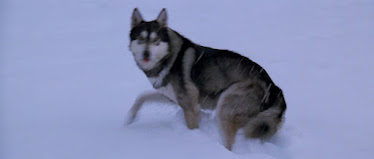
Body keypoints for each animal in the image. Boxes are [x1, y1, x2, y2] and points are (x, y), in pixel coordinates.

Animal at [125, 8, 286, 150]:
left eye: (155, 40)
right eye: (141, 39)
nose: (146, 54)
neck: (168, 58)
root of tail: (274, 86)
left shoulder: (190, 107)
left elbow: (192, 127)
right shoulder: (172, 98)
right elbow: (142, 97)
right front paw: (129, 119)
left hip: (225, 106)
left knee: (229, 144)